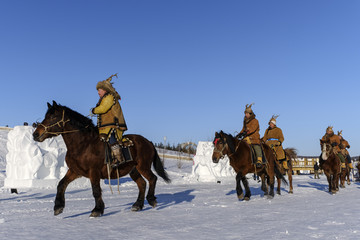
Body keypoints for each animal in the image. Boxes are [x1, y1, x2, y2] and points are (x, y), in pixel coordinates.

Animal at [32, 101, 170, 218]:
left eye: (53, 117)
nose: (35, 134)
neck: (84, 144)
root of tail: (149, 142)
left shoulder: (94, 172)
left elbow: (96, 191)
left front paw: (97, 210)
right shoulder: (75, 171)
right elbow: (61, 184)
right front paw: (58, 207)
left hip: (143, 166)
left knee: (152, 179)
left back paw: (151, 200)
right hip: (133, 170)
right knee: (142, 183)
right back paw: (137, 205)